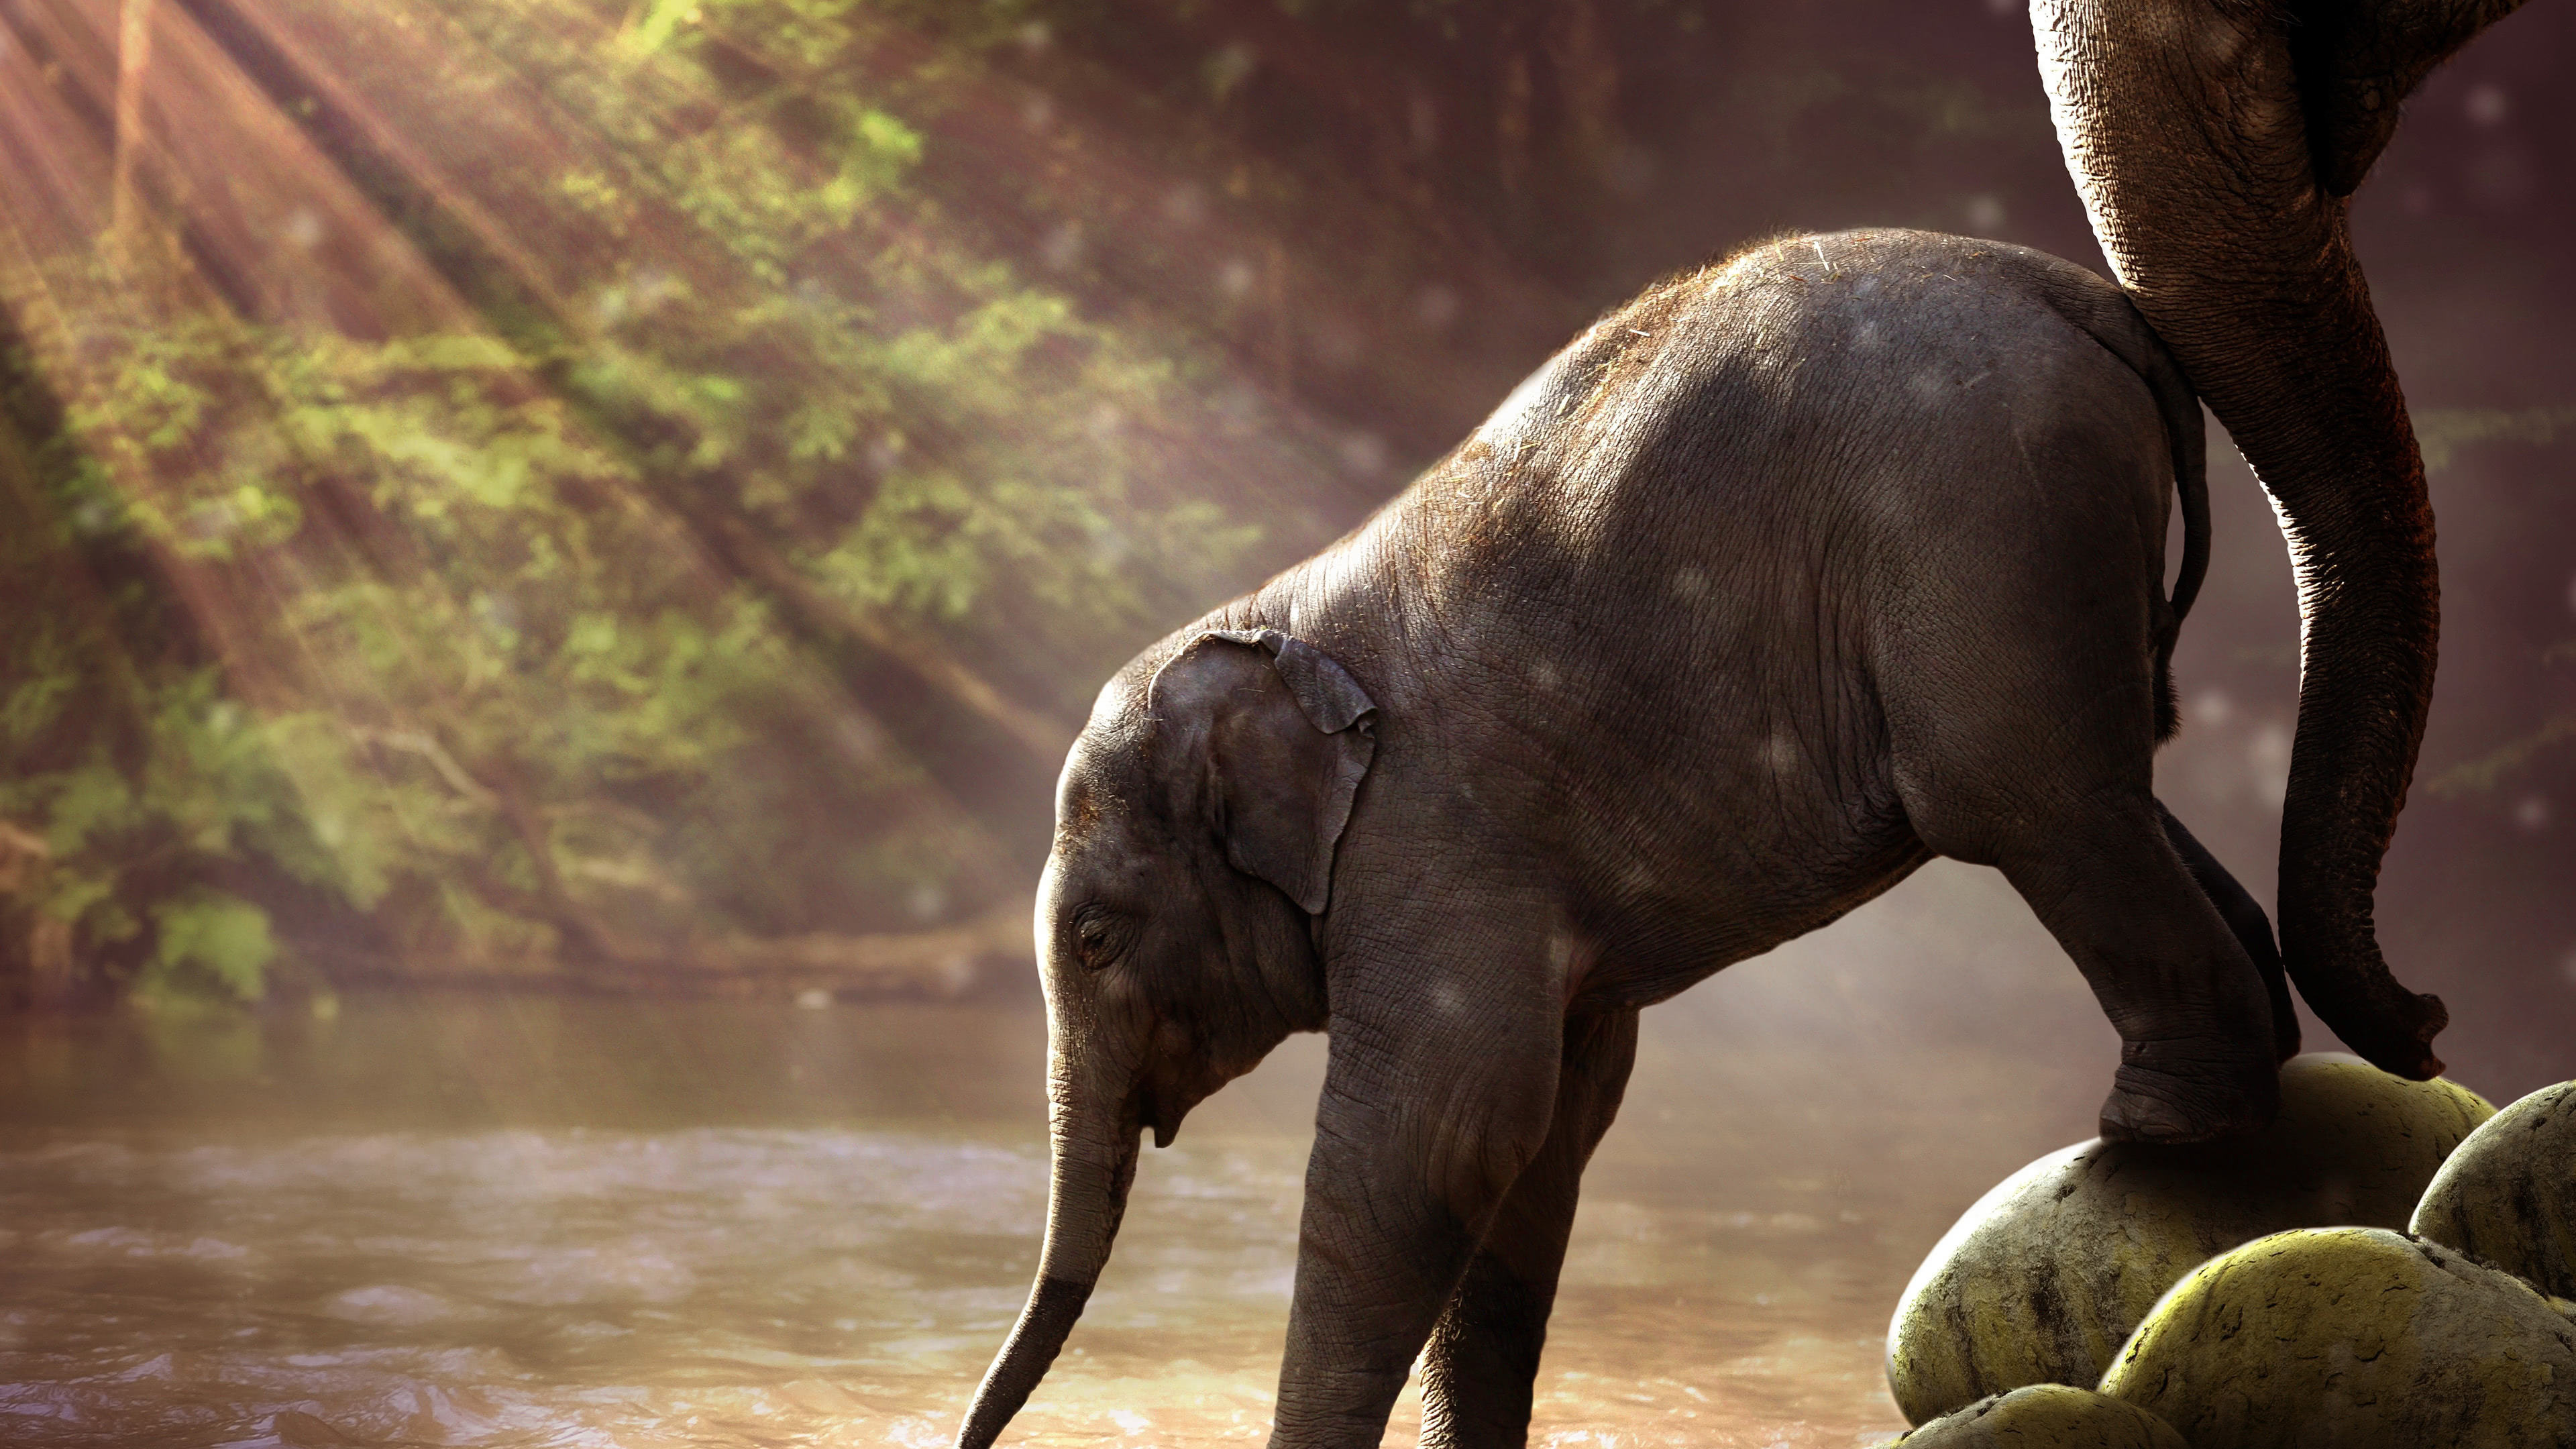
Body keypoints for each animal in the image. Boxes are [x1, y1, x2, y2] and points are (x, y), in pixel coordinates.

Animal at [954, 230, 2314, 1449]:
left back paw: (2162, 1127)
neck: (1267, 622)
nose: (968, 1438)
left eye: (1093, 938)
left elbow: (1429, 1142)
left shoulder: (1434, 847)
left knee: (2021, 798)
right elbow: (1543, 1139)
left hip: (1985, 524)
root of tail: (2079, 295)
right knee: (2114, 786)